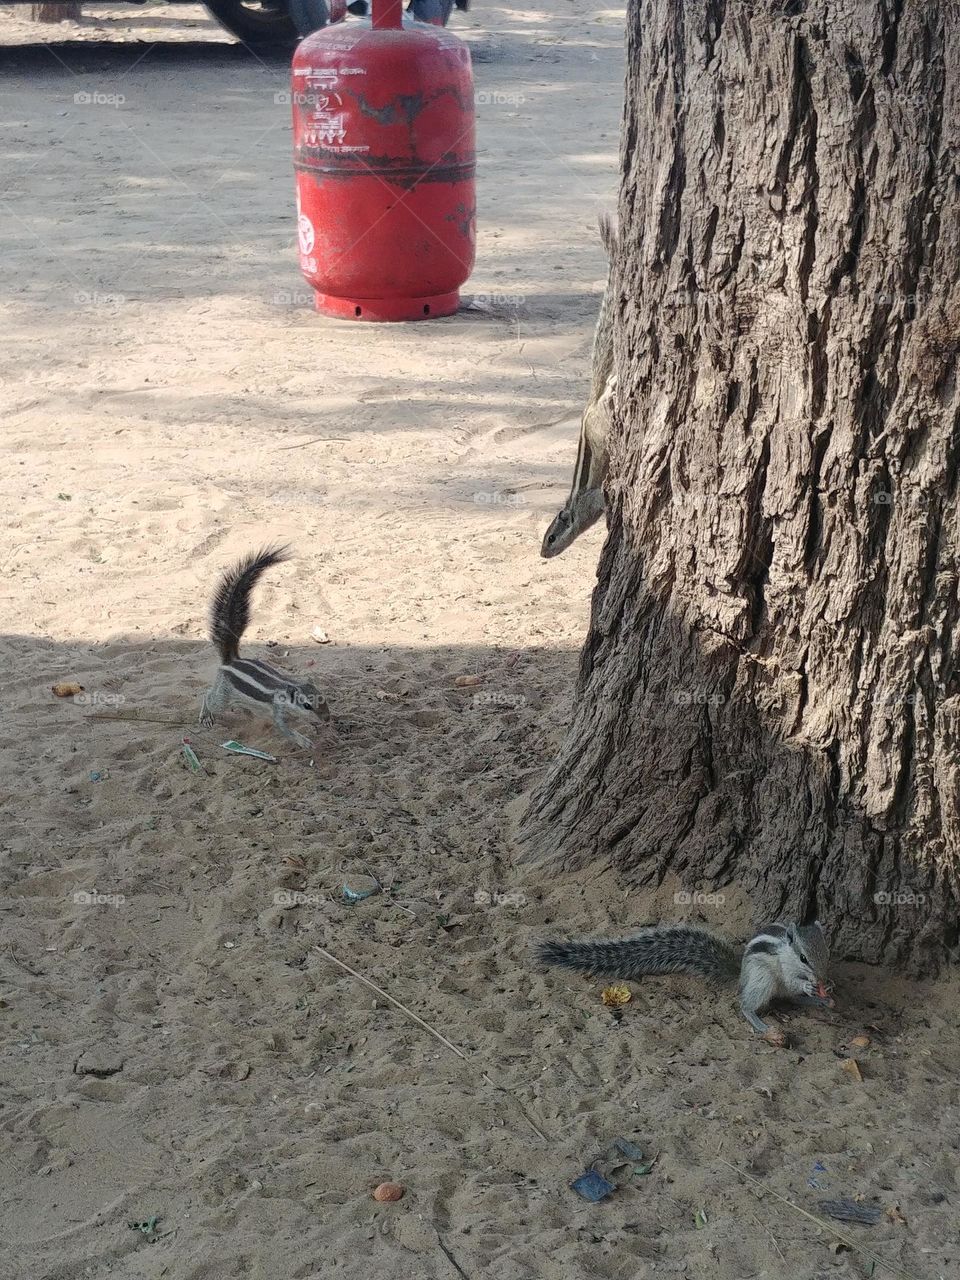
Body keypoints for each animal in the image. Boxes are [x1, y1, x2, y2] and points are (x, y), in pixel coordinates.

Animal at [199, 546, 330, 749]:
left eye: (323, 699)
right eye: (307, 705)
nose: (328, 719)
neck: (286, 689)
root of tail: (232, 660)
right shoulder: (278, 712)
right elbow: (285, 730)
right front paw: (304, 742)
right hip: (222, 696)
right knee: (209, 697)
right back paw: (206, 715)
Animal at [537, 920, 834, 1036]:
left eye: (826, 951)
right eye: (804, 957)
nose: (821, 976)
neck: (787, 951)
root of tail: (740, 976)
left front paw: (824, 988)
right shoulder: (783, 966)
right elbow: (793, 980)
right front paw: (809, 984)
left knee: (791, 999)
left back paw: (820, 1002)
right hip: (762, 980)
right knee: (747, 1003)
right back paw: (759, 1022)